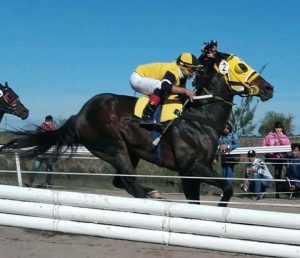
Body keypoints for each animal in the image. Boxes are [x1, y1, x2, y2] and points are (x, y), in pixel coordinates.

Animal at [0, 55, 274, 207]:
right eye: (241, 66)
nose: (269, 88)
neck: (201, 117)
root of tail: (80, 114)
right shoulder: (191, 166)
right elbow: (227, 188)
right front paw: (218, 208)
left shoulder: (192, 171)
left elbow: (196, 199)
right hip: (114, 147)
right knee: (130, 181)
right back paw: (152, 194)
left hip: (128, 152)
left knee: (121, 180)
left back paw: (152, 192)